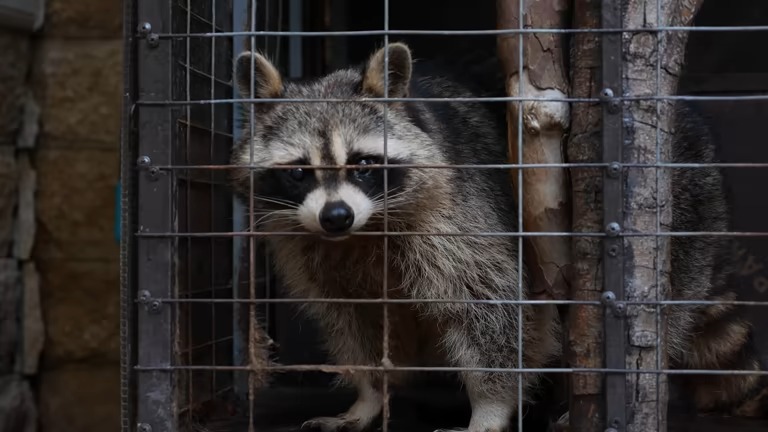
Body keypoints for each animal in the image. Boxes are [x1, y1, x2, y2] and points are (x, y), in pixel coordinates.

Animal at [229, 42, 561, 432]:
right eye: (298, 172)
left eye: (362, 164)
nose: (336, 216)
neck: (363, 231)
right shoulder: (312, 253)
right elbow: (359, 321)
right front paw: (370, 395)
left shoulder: (461, 221)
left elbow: (492, 305)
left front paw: (490, 407)